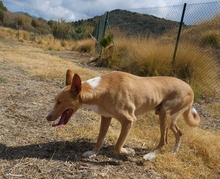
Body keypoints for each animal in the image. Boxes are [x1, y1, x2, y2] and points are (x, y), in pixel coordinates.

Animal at [46, 69, 199, 160]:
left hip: (164, 114)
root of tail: (191, 88)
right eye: (55, 100)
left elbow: (117, 147)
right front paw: (93, 152)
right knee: (179, 133)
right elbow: (100, 139)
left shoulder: (129, 121)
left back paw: (150, 155)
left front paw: (129, 151)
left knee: (164, 140)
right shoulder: (106, 117)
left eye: (59, 102)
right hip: (169, 118)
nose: (47, 118)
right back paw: (174, 150)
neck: (101, 90)